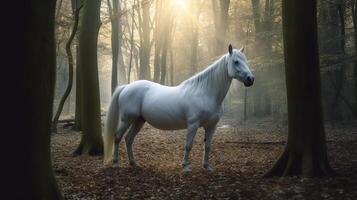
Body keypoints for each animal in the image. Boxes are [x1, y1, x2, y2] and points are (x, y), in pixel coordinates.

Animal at [103, 45, 253, 173]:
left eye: (245, 60)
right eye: (236, 62)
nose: (250, 79)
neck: (205, 93)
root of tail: (126, 87)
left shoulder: (212, 126)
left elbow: (208, 146)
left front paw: (207, 166)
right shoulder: (193, 124)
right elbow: (188, 145)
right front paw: (185, 167)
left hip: (139, 120)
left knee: (129, 139)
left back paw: (134, 163)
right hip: (127, 119)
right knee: (118, 136)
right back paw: (116, 163)